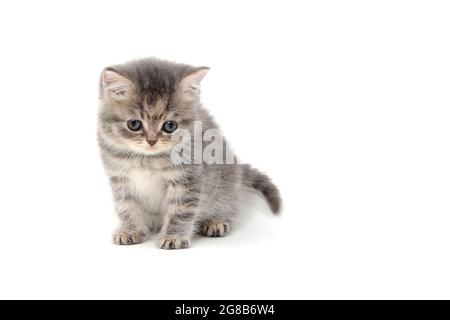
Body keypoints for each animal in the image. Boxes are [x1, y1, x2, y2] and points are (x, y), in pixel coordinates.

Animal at [97, 58, 282, 250]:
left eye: (170, 126)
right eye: (134, 124)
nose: (152, 141)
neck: (148, 159)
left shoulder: (187, 178)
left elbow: (181, 210)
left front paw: (173, 236)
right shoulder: (120, 180)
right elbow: (126, 207)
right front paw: (130, 230)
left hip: (226, 183)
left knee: (229, 204)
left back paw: (216, 221)